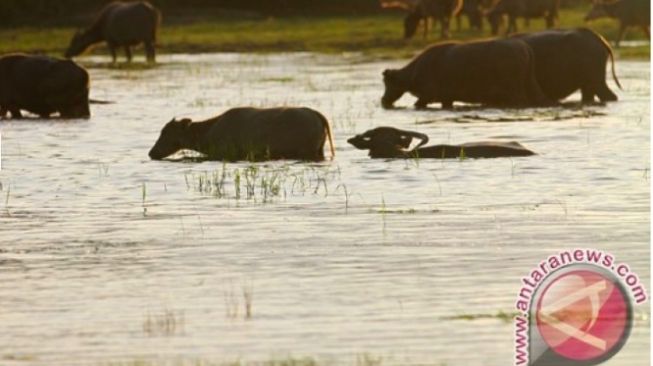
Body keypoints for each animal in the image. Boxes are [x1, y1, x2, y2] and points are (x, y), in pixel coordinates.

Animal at [382, 39, 552, 110]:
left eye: (388, 82)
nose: (383, 100)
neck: (411, 77)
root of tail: (526, 49)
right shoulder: (446, 98)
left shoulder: (428, 95)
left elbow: (417, 104)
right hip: (530, 82)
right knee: (541, 99)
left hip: (514, 89)